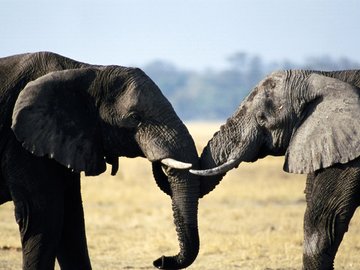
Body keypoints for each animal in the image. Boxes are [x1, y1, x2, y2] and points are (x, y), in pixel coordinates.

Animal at [0, 51, 201, 268]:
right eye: (134, 117)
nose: (160, 260)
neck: (87, 70)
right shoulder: (20, 144)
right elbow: (42, 217)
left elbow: (71, 219)